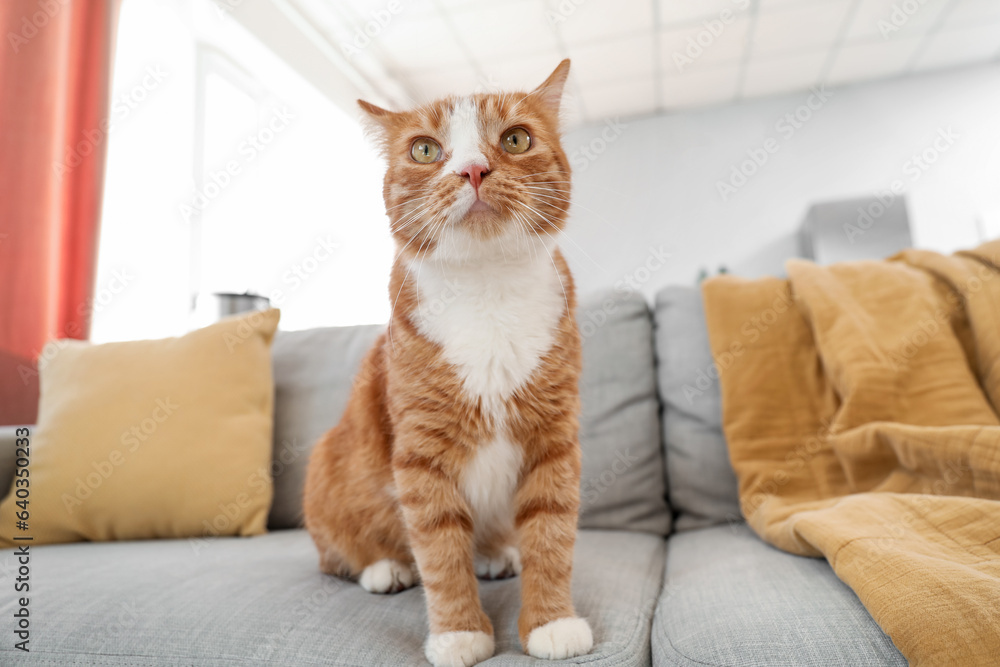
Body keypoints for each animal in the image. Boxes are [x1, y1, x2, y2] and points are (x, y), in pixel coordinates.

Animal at [300, 60, 588, 664]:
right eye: (426, 150)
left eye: (516, 139)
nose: (473, 170)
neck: (487, 292)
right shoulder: (421, 453)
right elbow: (440, 549)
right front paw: (460, 633)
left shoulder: (554, 438)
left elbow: (550, 534)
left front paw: (552, 622)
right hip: (327, 463)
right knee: (337, 554)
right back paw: (384, 568)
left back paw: (497, 552)